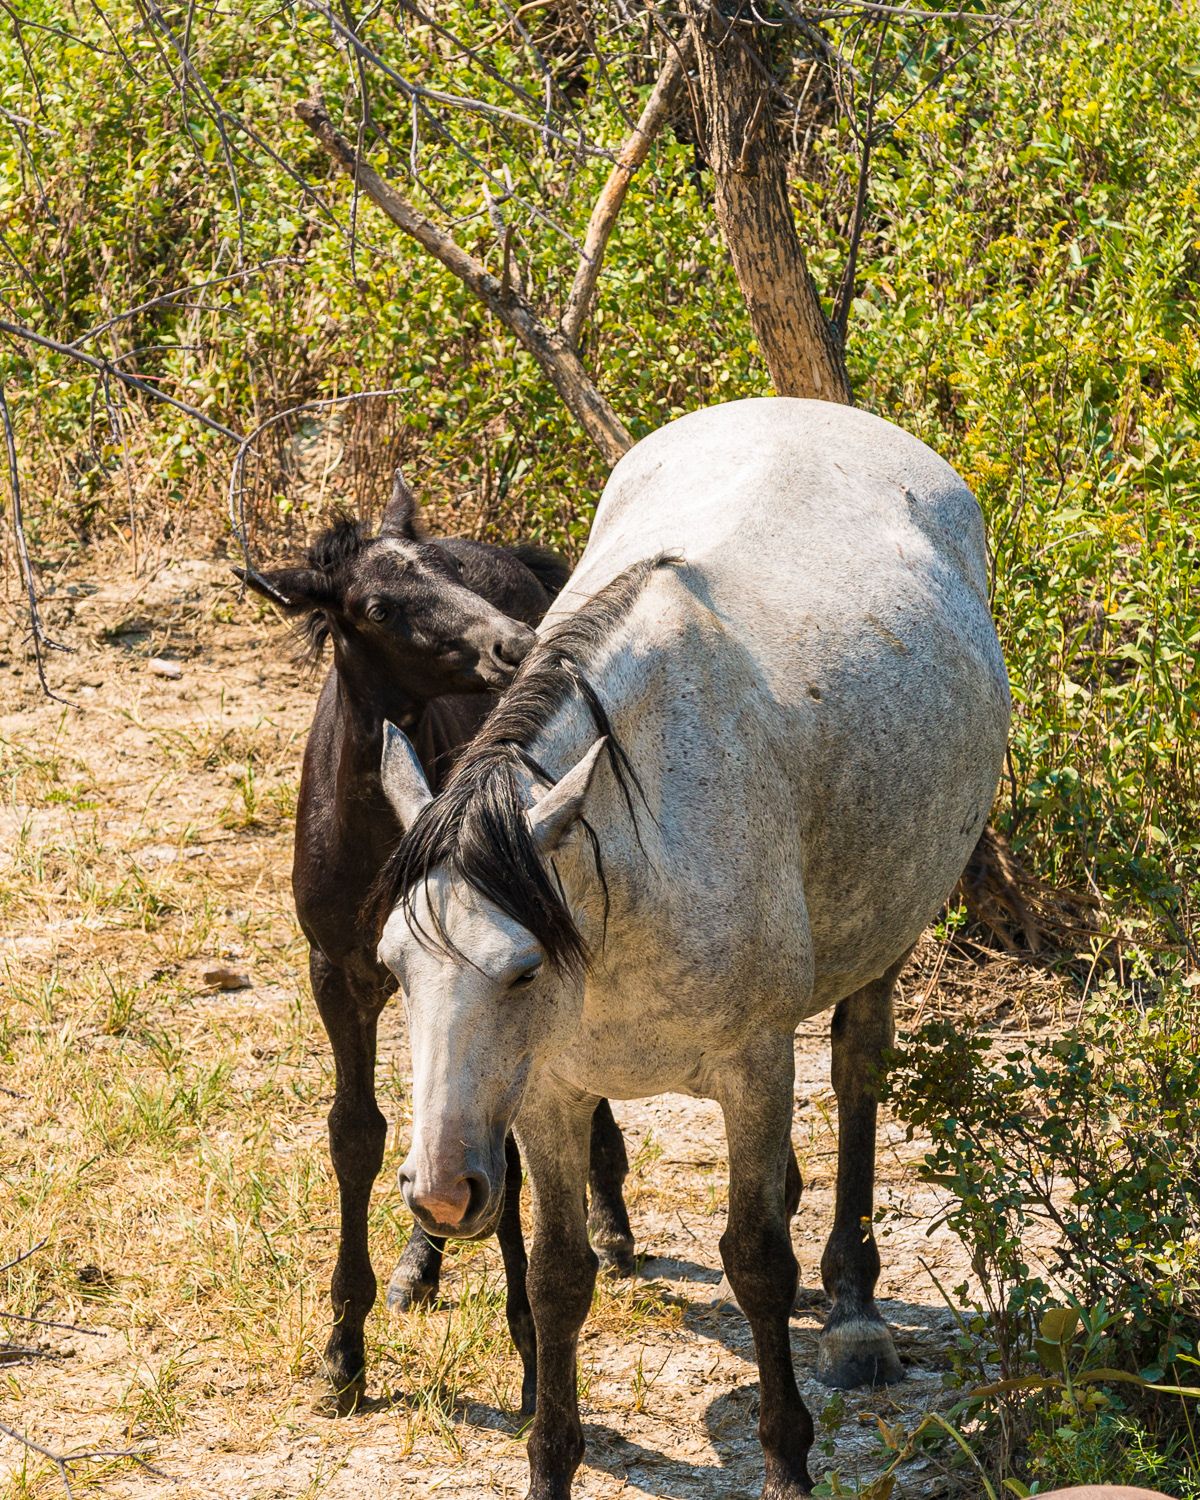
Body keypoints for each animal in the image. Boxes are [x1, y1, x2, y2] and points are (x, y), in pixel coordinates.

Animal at [235, 470, 635, 1416]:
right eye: (376, 605)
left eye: (441, 573)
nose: (512, 645)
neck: (379, 833)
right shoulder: (339, 975)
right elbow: (358, 1134)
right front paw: (344, 1348)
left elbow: (509, 1156)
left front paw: (528, 1350)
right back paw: (421, 1262)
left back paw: (609, 1219)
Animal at [372, 398, 1011, 1496]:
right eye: (393, 971)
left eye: (523, 969)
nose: (444, 1193)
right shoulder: (548, 1092)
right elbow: (560, 1278)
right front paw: (550, 1465)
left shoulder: (752, 1069)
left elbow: (756, 1262)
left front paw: (788, 1460)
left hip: (890, 935)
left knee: (857, 1073)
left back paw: (854, 1311)